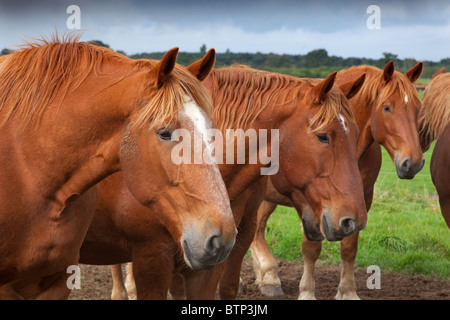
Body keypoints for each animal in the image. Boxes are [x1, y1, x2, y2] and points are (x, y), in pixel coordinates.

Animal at [102, 65, 370, 300]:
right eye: (323, 137)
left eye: (356, 135)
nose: (354, 220)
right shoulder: (164, 248)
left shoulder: (235, 234)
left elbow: (227, 286)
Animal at [251, 60, 424, 300]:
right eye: (387, 107)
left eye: (418, 108)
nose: (413, 163)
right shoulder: (312, 202)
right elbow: (311, 248)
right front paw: (307, 292)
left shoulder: (360, 203)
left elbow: (349, 248)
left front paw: (347, 291)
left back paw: (266, 277)